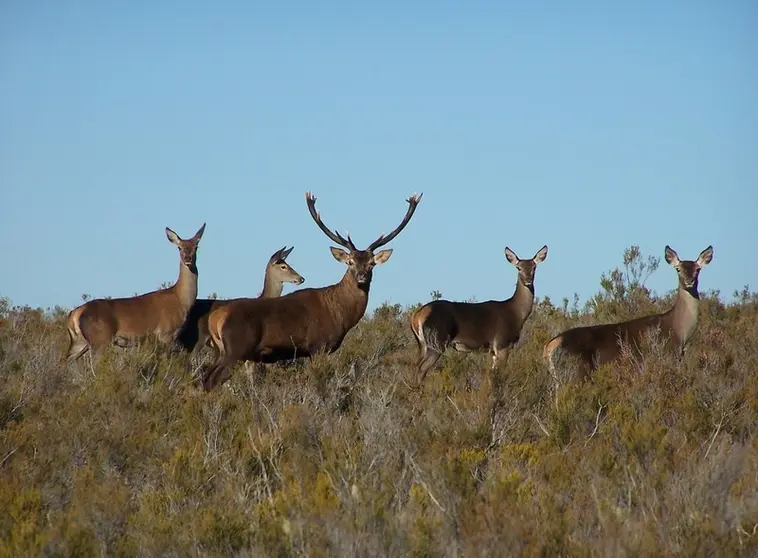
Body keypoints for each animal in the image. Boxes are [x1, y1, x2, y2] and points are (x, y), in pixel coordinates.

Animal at [65, 223, 206, 364]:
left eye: (196, 246)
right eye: (179, 247)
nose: (187, 258)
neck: (181, 300)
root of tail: (75, 313)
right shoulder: (166, 334)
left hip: (80, 342)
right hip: (100, 339)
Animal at [202, 190, 424, 392]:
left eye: (371, 264)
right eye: (350, 262)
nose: (362, 276)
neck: (341, 314)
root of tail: (215, 318)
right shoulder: (318, 346)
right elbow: (319, 384)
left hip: (222, 350)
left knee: (206, 377)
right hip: (236, 348)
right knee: (213, 379)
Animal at [412, 247, 548, 388]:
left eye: (534, 267)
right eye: (518, 268)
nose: (528, 280)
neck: (516, 313)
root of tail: (417, 315)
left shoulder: (493, 350)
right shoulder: (502, 343)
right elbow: (498, 375)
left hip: (422, 344)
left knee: (415, 364)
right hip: (437, 341)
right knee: (422, 368)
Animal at [544, 247, 716, 378]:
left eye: (698, 269)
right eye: (678, 269)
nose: (689, 281)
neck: (680, 333)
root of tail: (550, 346)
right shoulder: (664, 359)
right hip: (577, 372)